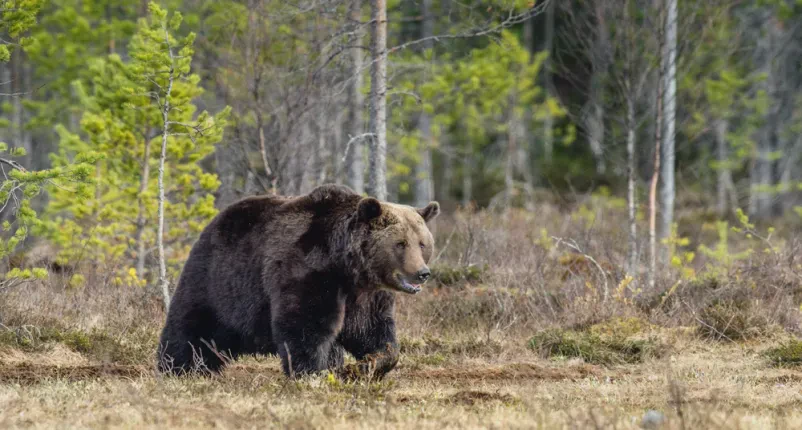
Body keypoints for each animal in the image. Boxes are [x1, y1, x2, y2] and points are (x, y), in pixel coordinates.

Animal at [156, 183, 440, 380]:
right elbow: (305, 324)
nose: (422, 272)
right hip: (219, 280)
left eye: (422, 243)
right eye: (400, 243)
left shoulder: (367, 295)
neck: (348, 267)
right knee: (191, 326)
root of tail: (215, 220)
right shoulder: (308, 270)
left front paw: (362, 367)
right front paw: (313, 373)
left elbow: (373, 332)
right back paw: (178, 367)